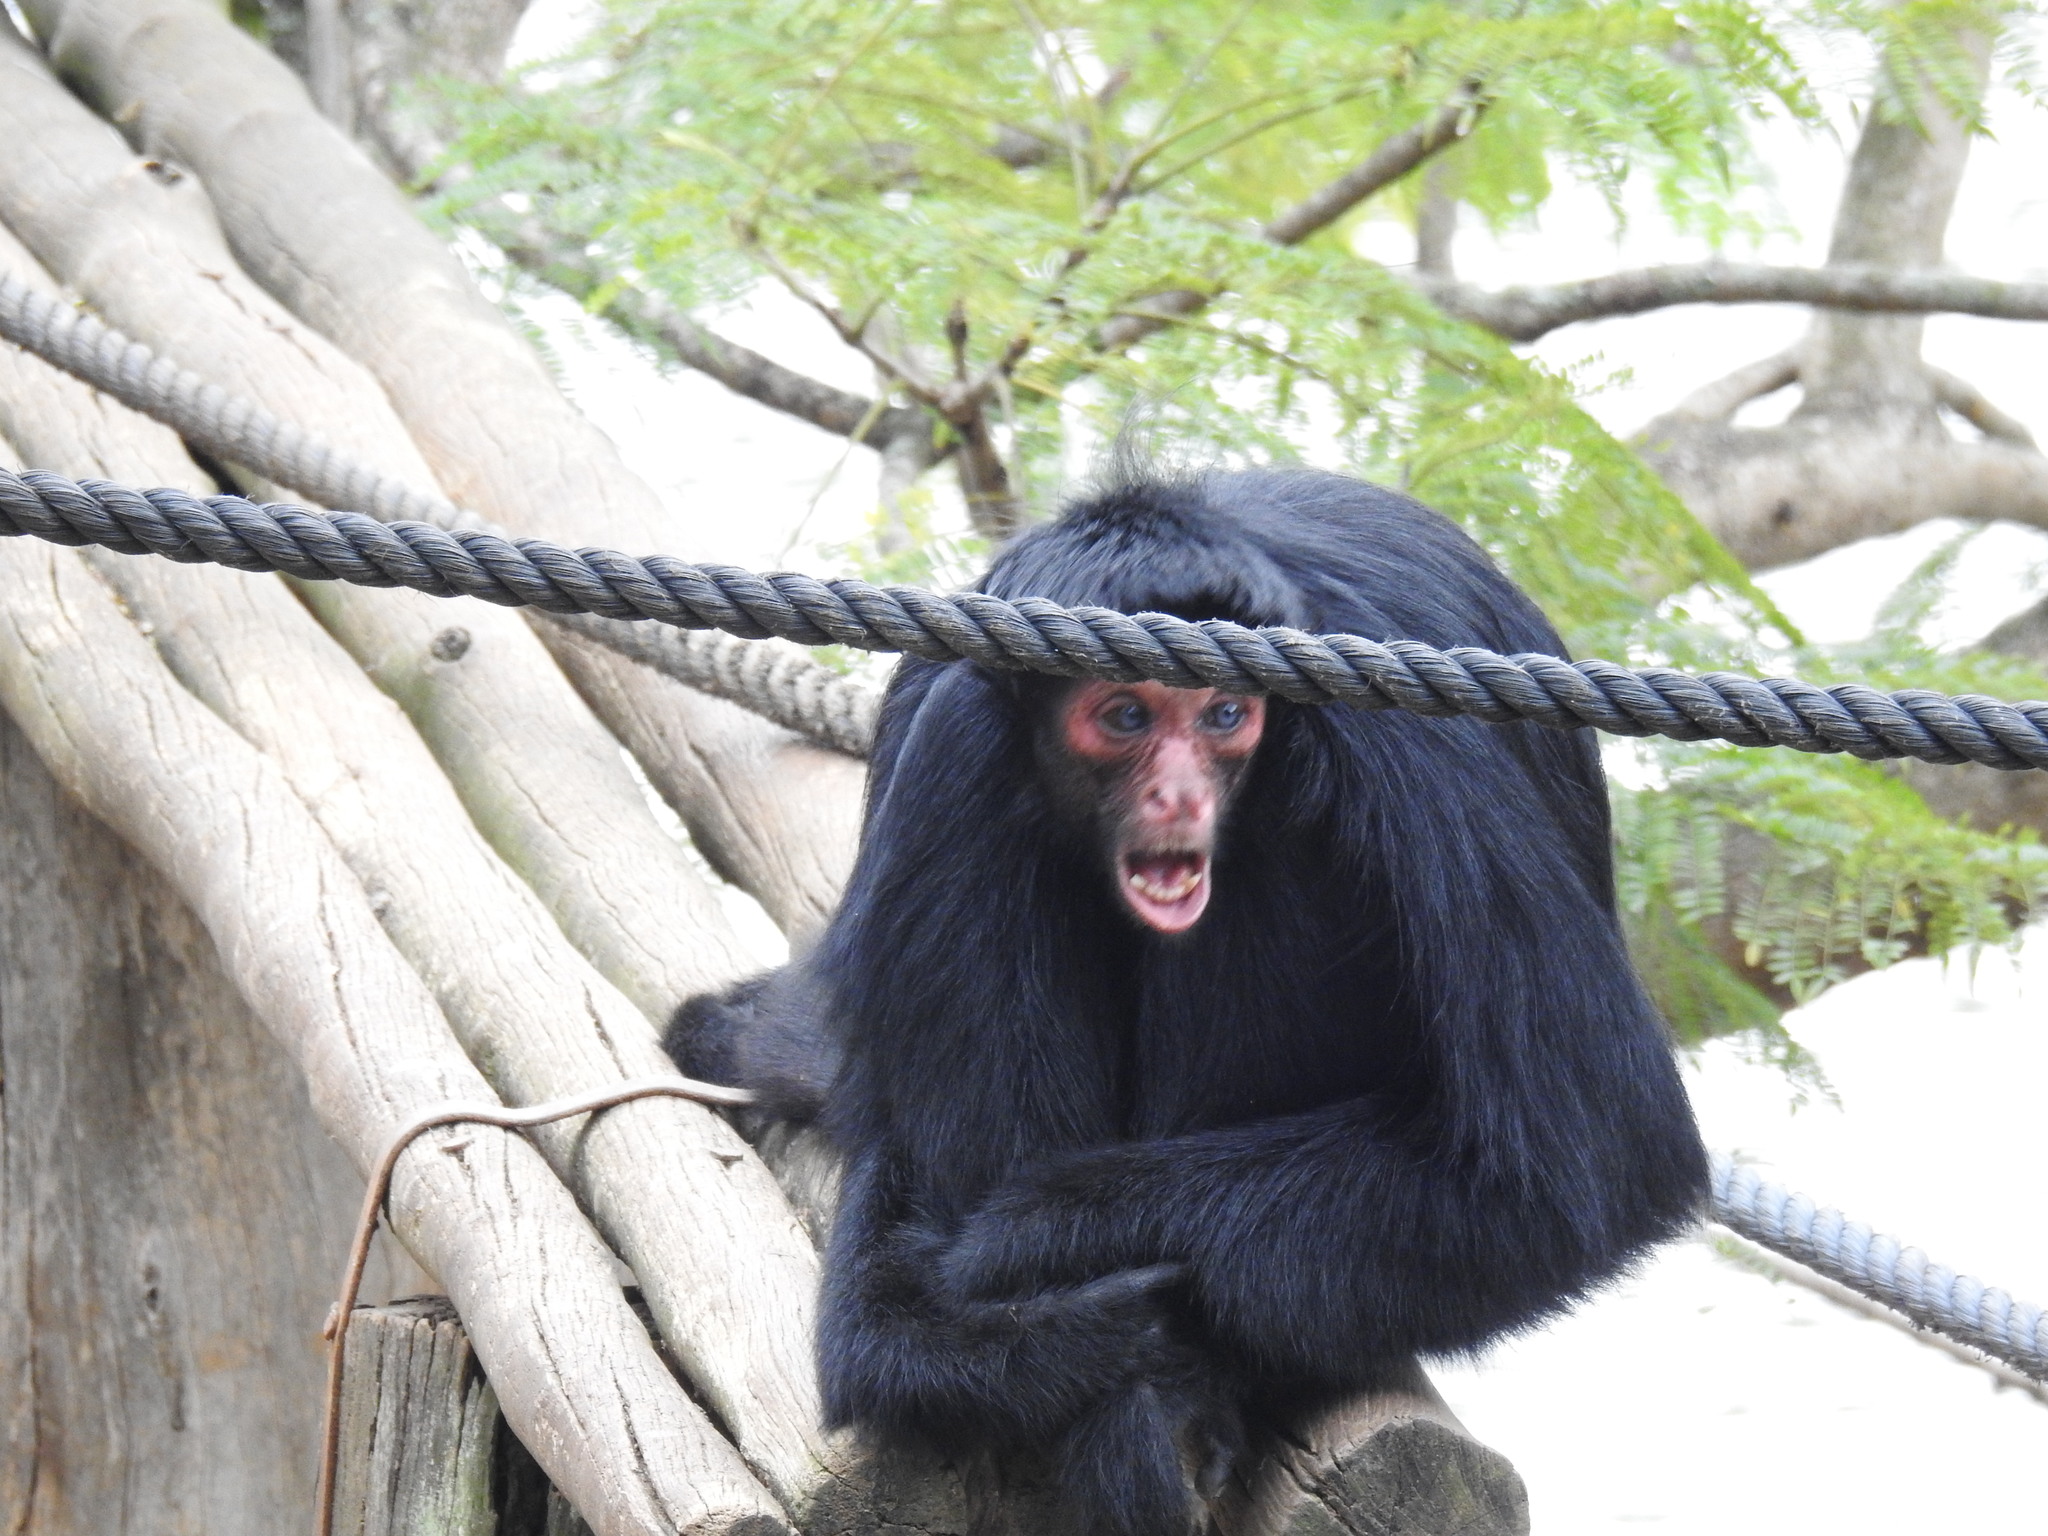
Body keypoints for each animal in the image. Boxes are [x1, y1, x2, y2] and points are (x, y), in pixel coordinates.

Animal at [663, 468, 1703, 1536]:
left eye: (1224, 717)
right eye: (1126, 718)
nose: (1179, 798)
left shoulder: (1395, 726)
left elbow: (1594, 1167)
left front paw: (1041, 1229)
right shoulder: (953, 690)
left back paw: (1170, 1401)